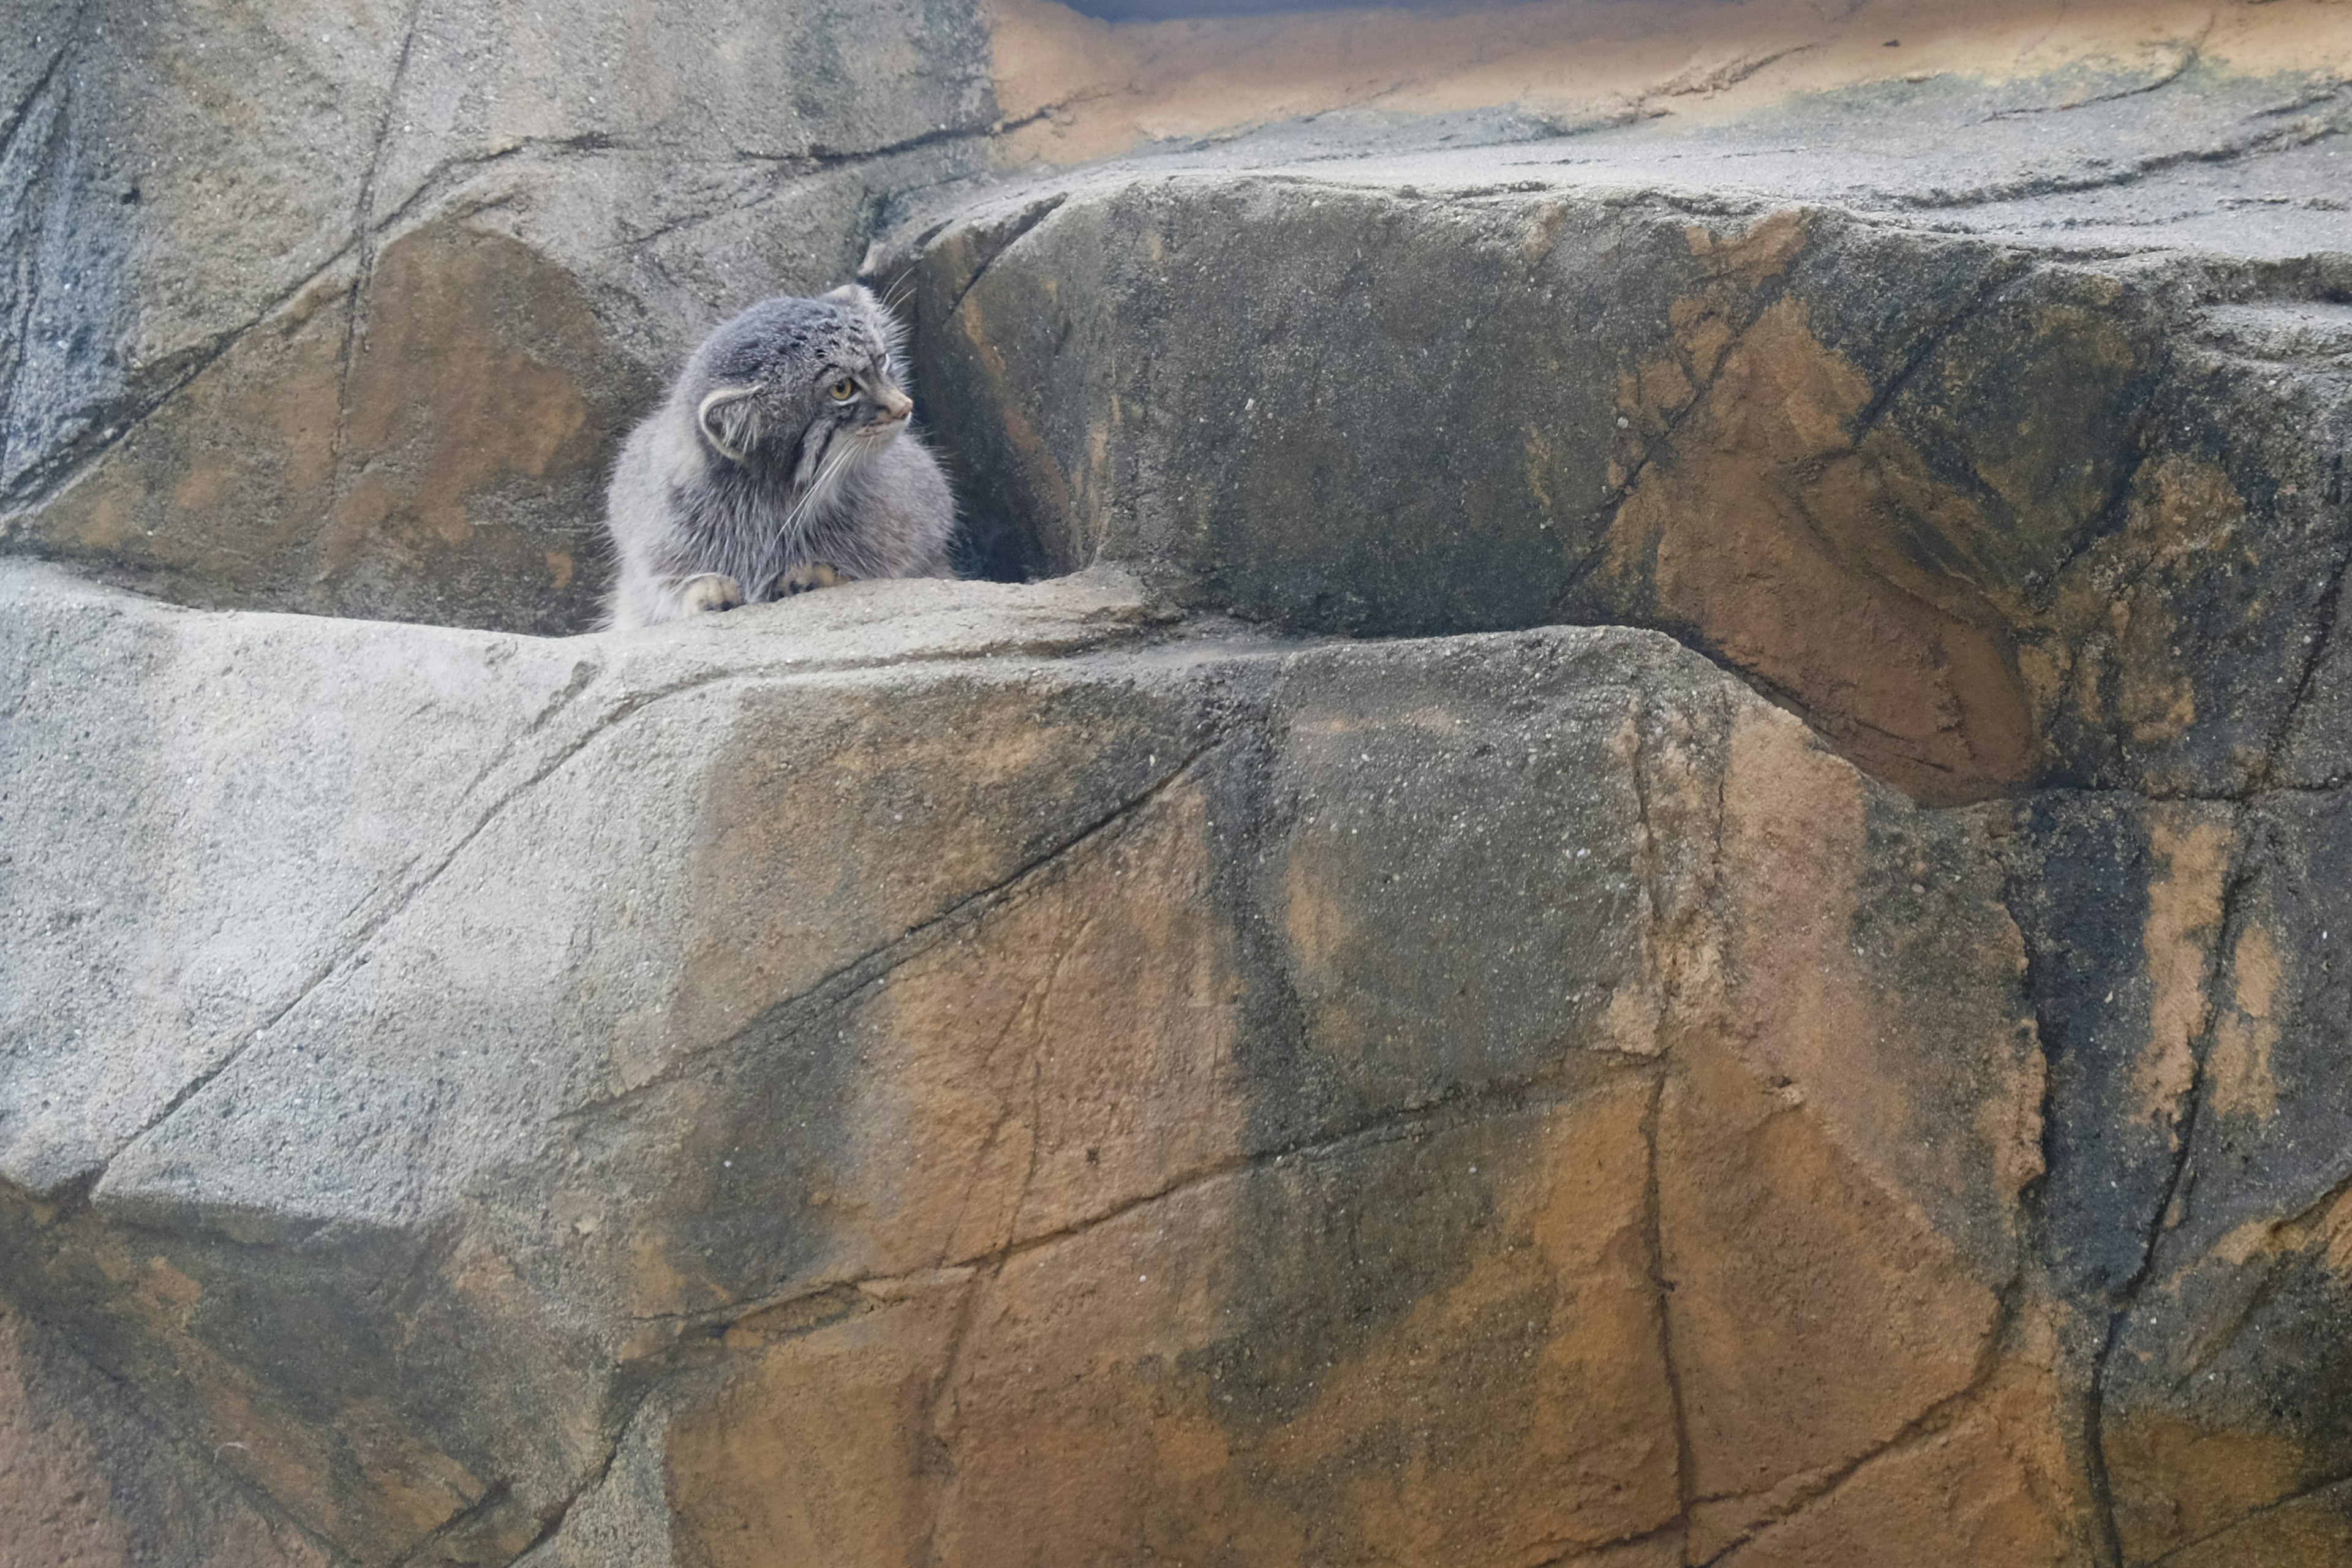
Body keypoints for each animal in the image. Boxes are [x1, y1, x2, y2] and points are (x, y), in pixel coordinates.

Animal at [606, 285, 955, 630]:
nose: (905, 406)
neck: (768, 503)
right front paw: (704, 593)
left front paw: (817, 575)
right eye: (842, 389)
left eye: (882, 361)